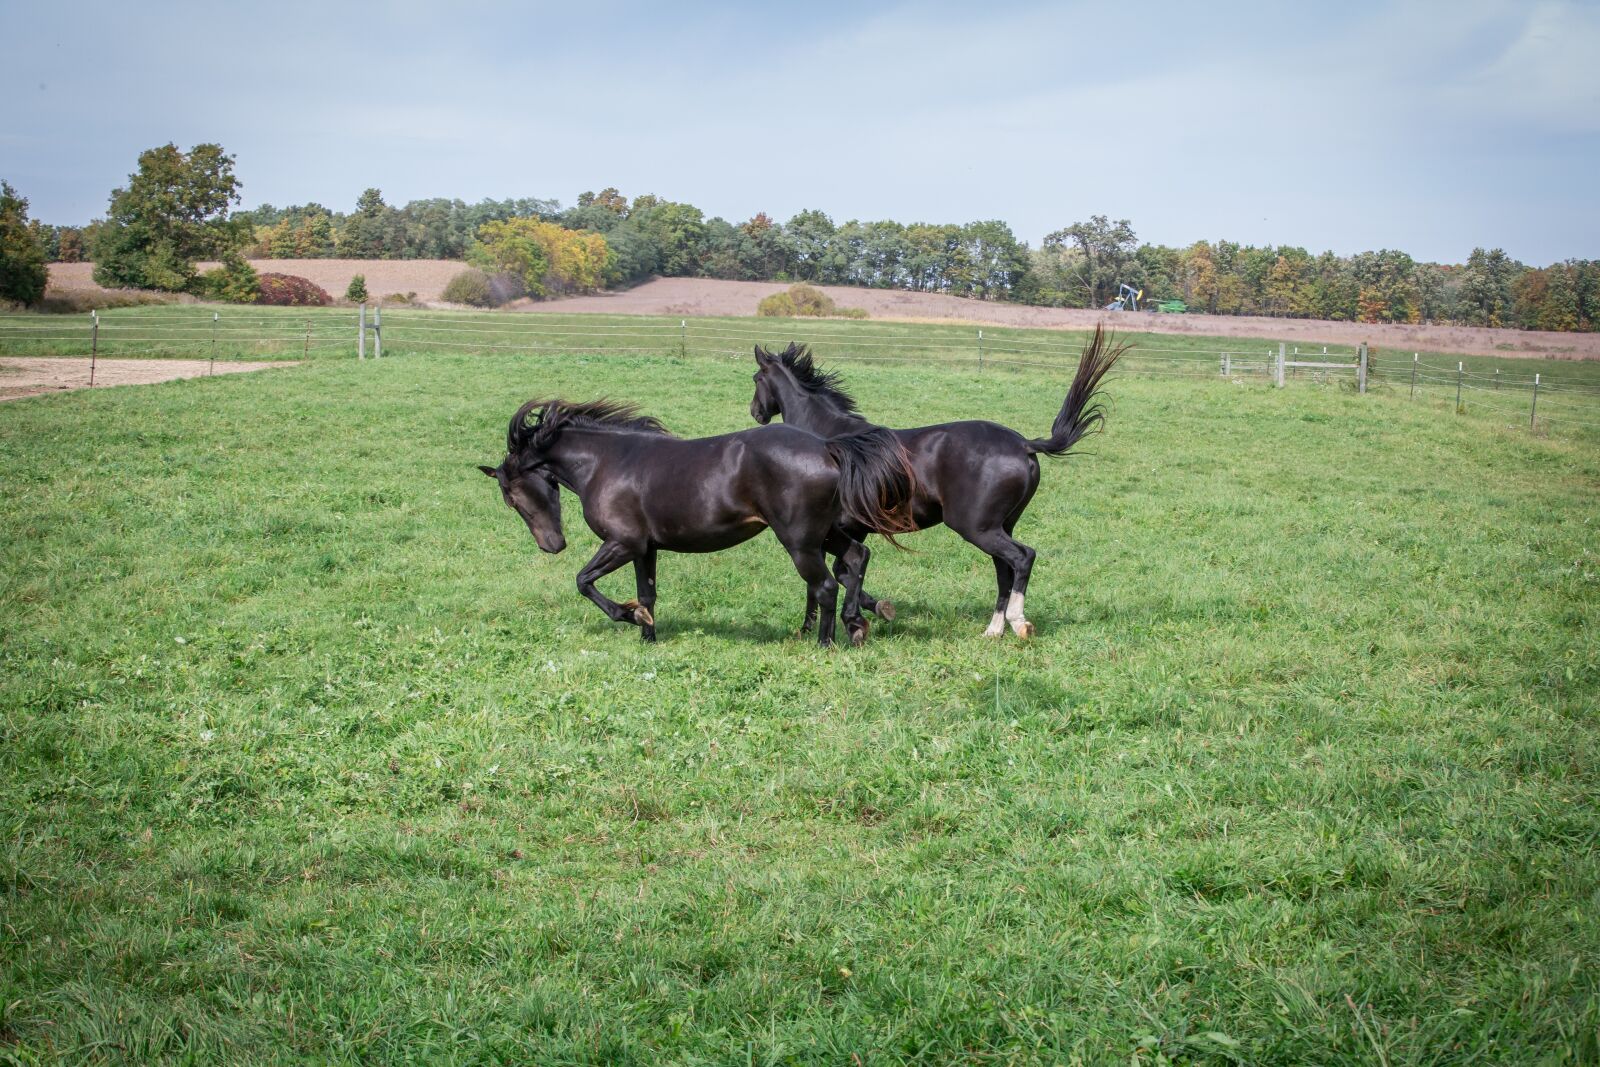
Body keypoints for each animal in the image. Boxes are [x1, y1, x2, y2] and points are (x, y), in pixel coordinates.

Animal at [478, 398, 916, 647]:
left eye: (511, 497)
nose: (552, 545)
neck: (607, 463)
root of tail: (827, 447)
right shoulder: (645, 548)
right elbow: (648, 594)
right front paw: (648, 636)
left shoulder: (622, 543)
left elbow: (584, 581)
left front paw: (629, 616)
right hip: (824, 535)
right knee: (856, 558)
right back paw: (856, 625)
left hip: (800, 542)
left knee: (825, 585)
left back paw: (825, 643)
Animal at [749, 325, 1125, 638]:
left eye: (755, 379)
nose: (756, 412)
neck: (828, 436)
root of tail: (1023, 444)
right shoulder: (851, 528)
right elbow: (845, 571)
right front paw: (871, 612)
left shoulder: (833, 528)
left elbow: (834, 575)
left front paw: (835, 622)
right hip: (998, 527)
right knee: (1004, 571)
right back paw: (993, 631)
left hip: (976, 527)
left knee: (1023, 558)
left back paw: (1018, 622)